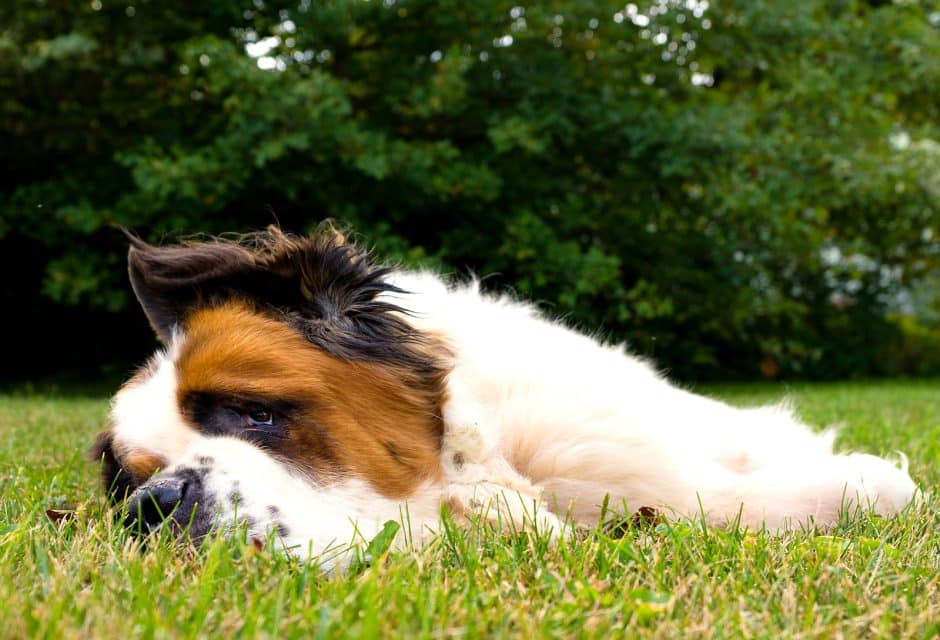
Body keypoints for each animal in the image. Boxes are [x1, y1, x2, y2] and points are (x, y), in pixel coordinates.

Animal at [93, 225, 916, 568]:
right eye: (131, 482)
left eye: (256, 413)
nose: (154, 507)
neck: (493, 455)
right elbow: (738, 500)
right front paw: (864, 479)